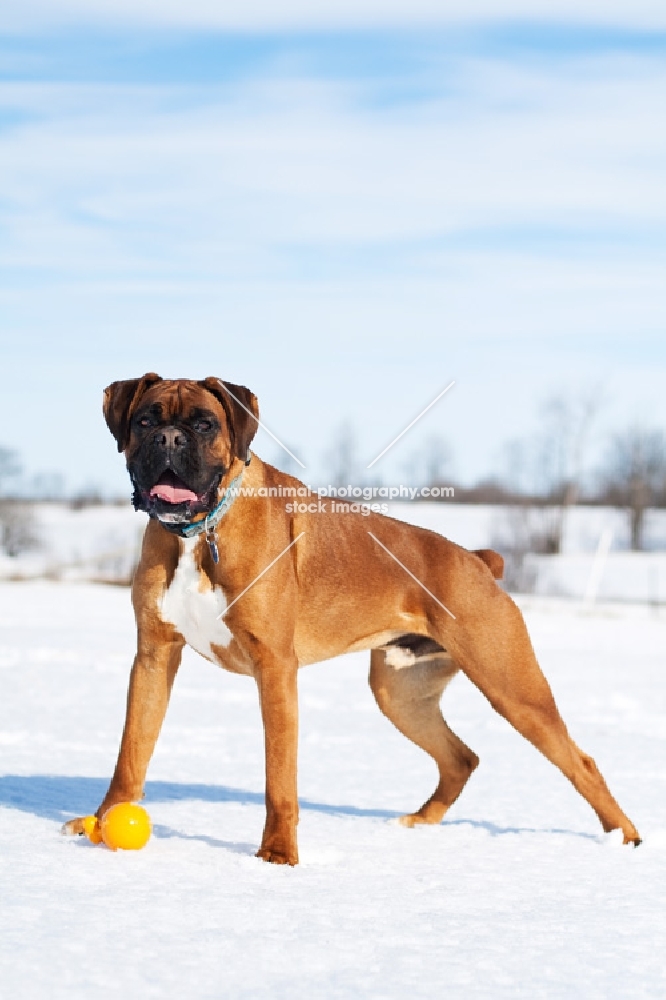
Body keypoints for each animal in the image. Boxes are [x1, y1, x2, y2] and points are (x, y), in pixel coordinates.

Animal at [63, 376, 640, 860]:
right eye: (144, 421)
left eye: (204, 424)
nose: (169, 440)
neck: (200, 532)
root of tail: (477, 560)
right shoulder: (154, 658)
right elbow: (130, 752)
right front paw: (103, 821)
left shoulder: (275, 670)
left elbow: (279, 777)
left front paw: (277, 854)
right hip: (401, 694)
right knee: (461, 758)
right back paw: (419, 823)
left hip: (513, 689)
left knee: (580, 762)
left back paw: (625, 839)